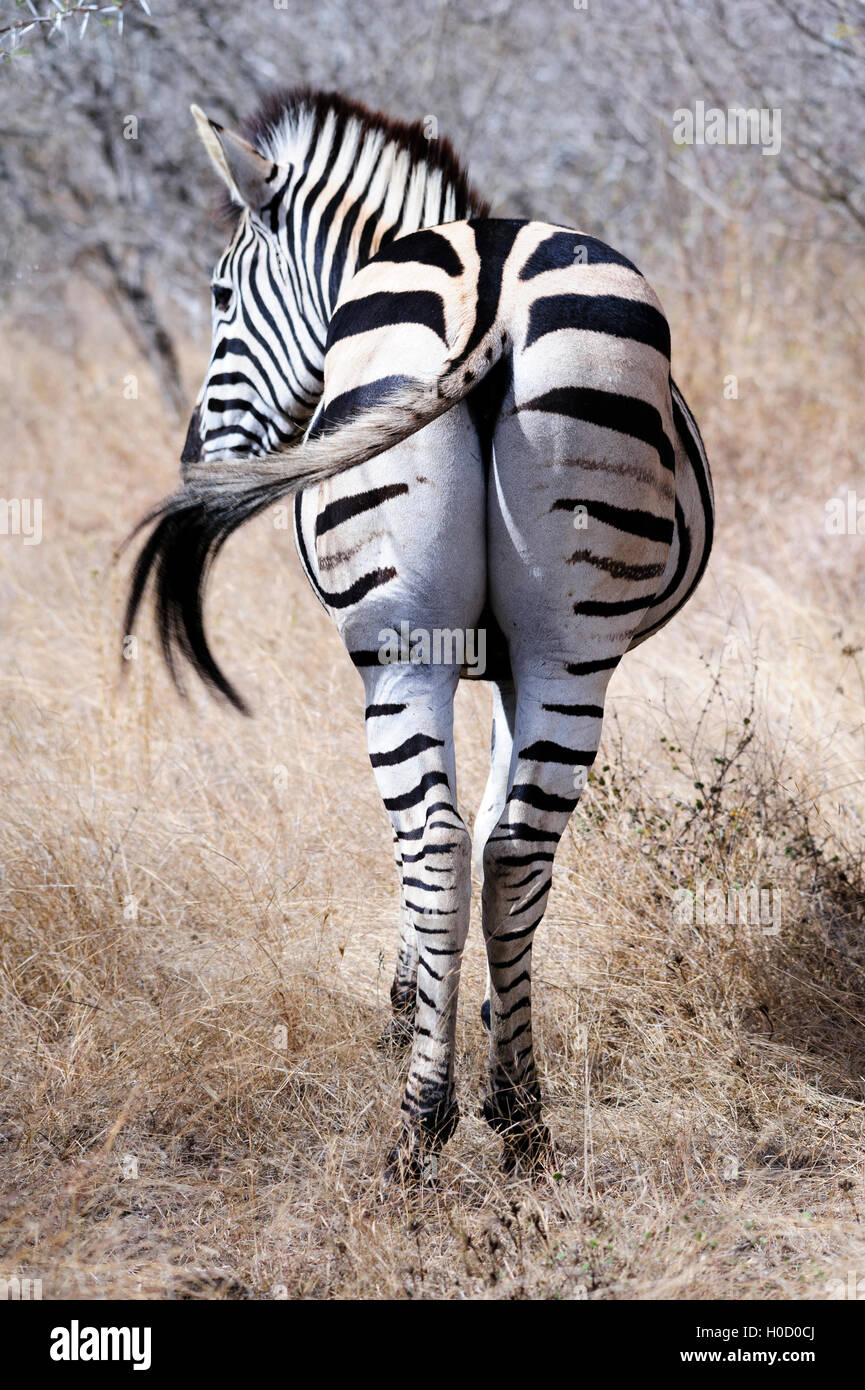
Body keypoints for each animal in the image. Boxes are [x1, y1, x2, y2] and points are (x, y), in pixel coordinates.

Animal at [125, 86, 717, 1178]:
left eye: (221, 295)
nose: (195, 461)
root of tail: (492, 286)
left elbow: (445, 836)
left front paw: (415, 1003)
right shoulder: (512, 664)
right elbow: (492, 825)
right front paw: (481, 1009)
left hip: (397, 649)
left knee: (435, 841)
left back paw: (421, 1123)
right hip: (570, 644)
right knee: (511, 847)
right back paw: (518, 1116)